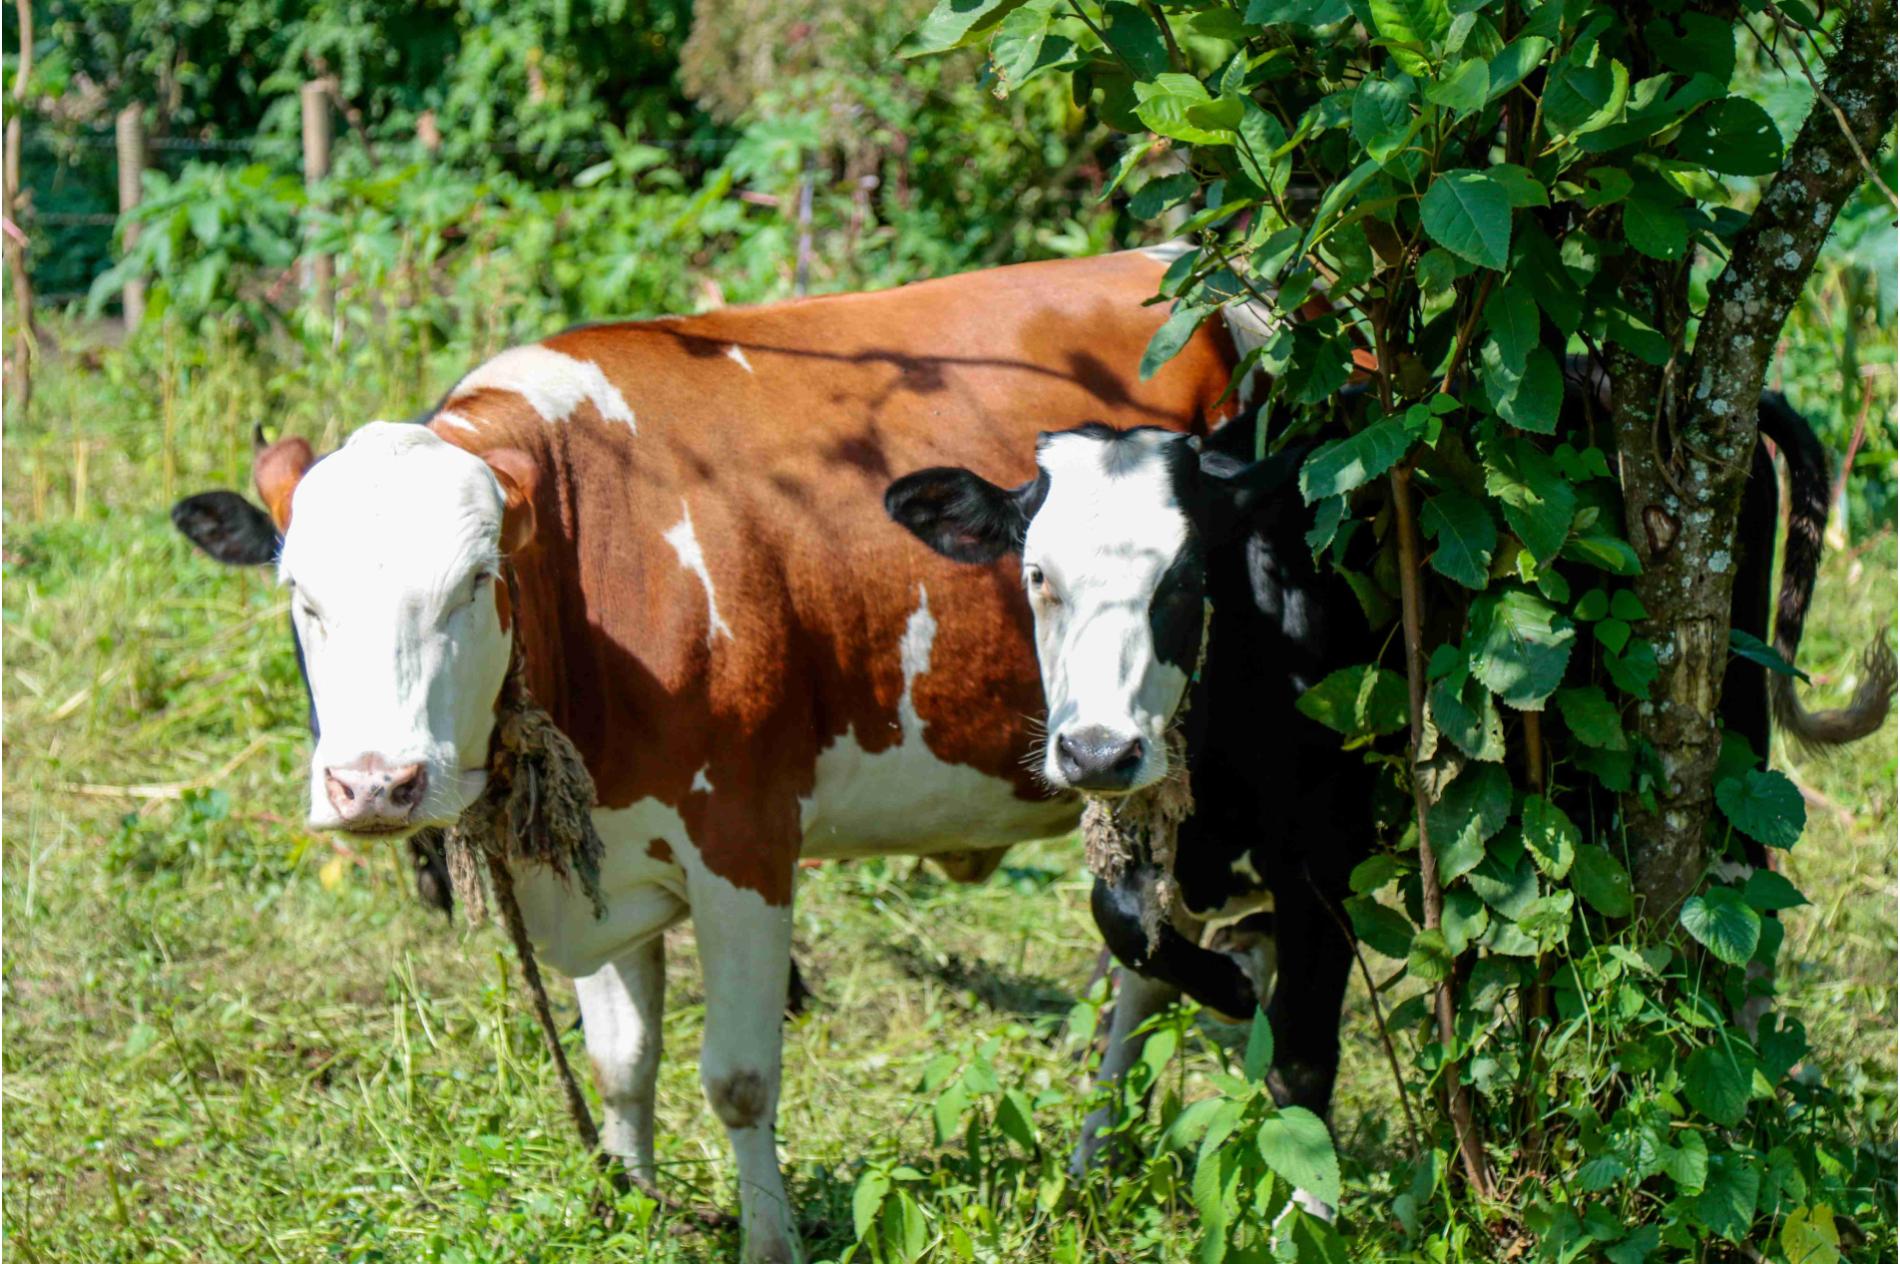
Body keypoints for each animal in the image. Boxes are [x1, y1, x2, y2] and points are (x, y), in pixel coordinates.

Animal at [260, 248, 1254, 1262]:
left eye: (472, 581)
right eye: (301, 594)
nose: (374, 784)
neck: (594, 560)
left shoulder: (745, 843)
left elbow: (738, 1080)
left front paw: (766, 1240)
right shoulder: (603, 845)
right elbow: (622, 1061)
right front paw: (633, 1203)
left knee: (1149, 973)